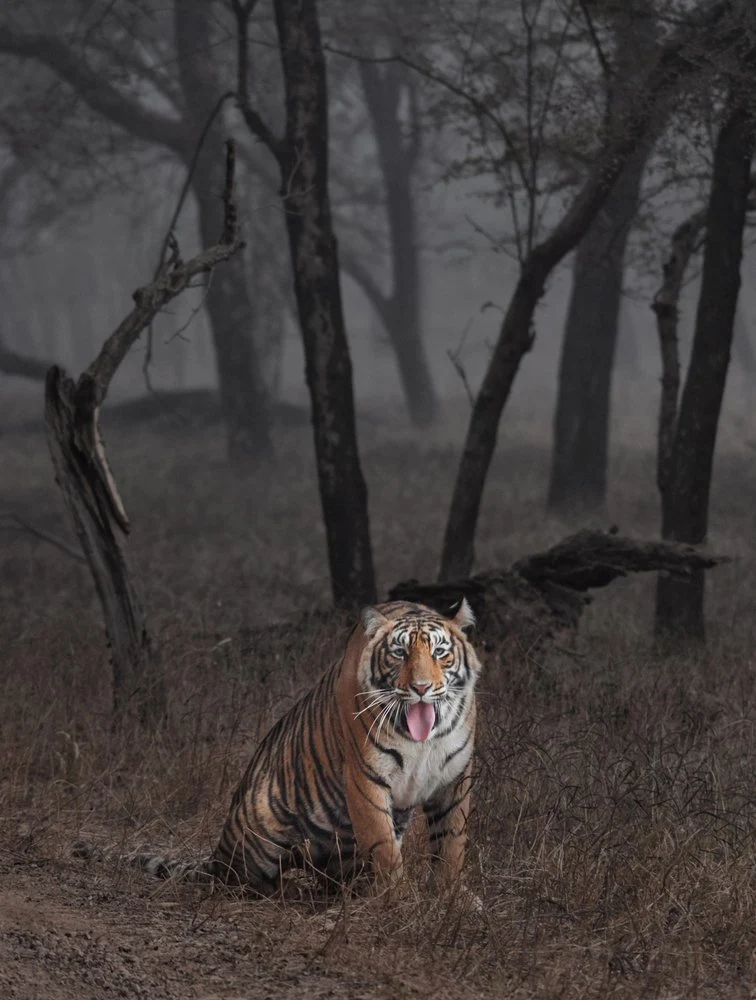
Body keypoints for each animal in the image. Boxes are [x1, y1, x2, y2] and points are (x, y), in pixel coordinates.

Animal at [125, 599, 482, 898]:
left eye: (439, 653)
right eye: (400, 654)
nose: (421, 688)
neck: (423, 740)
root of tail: (218, 853)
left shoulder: (454, 778)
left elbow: (451, 842)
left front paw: (453, 899)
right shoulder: (365, 778)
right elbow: (384, 848)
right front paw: (401, 901)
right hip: (263, 822)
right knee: (243, 878)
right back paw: (293, 891)